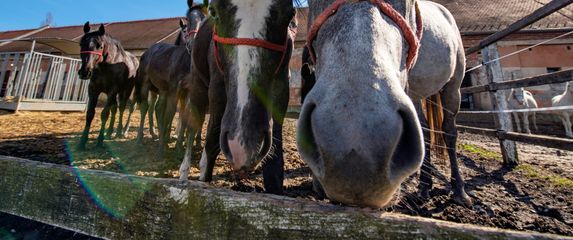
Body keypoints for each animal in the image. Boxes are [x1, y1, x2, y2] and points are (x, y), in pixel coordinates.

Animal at [76, 22, 139, 150]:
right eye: (81, 44)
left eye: (100, 46)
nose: (85, 72)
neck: (106, 66)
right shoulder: (93, 90)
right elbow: (90, 114)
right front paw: (82, 142)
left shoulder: (112, 90)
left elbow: (105, 114)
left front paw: (100, 141)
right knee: (115, 108)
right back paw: (109, 132)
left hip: (126, 90)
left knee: (122, 108)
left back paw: (120, 131)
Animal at [298, 0, 472, 207]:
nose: (355, 144)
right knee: (425, 132)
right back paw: (424, 188)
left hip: (453, 88)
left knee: (449, 132)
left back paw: (459, 190)